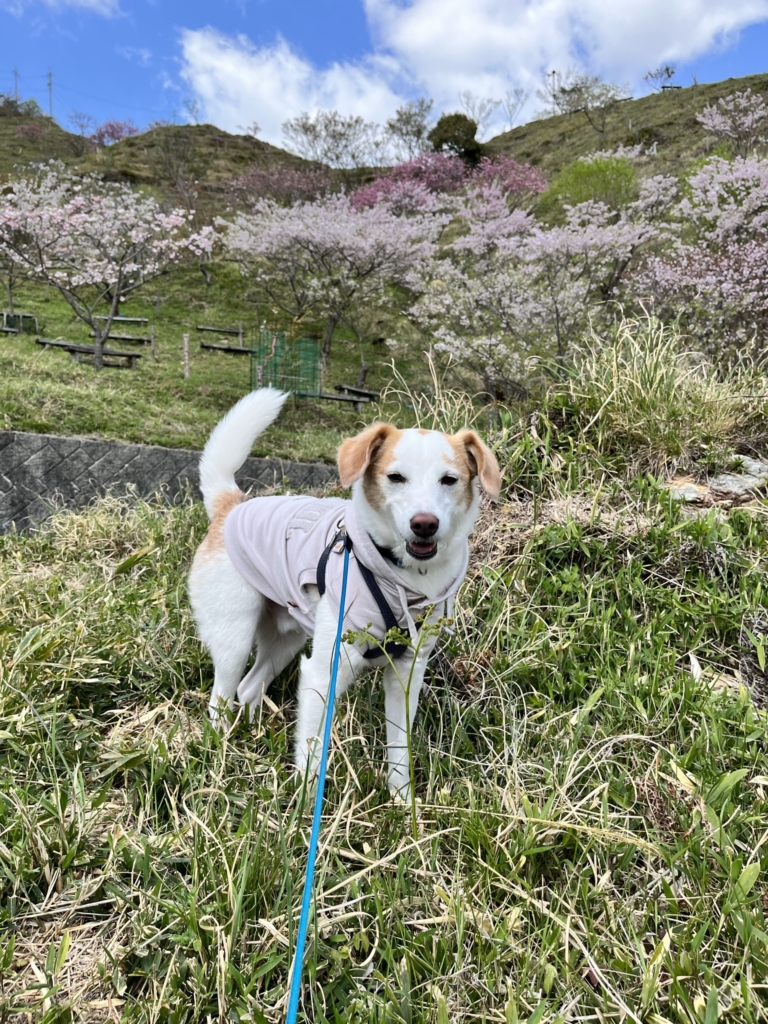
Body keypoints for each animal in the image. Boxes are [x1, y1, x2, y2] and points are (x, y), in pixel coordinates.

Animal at [189, 387, 501, 794]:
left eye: (449, 480)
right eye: (395, 477)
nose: (425, 524)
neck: (402, 575)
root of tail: (231, 505)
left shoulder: (407, 675)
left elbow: (399, 748)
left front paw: (401, 799)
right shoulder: (324, 673)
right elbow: (311, 746)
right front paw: (305, 798)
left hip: (286, 640)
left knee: (249, 687)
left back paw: (252, 733)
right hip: (235, 637)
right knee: (221, 698)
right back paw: (220, 752)